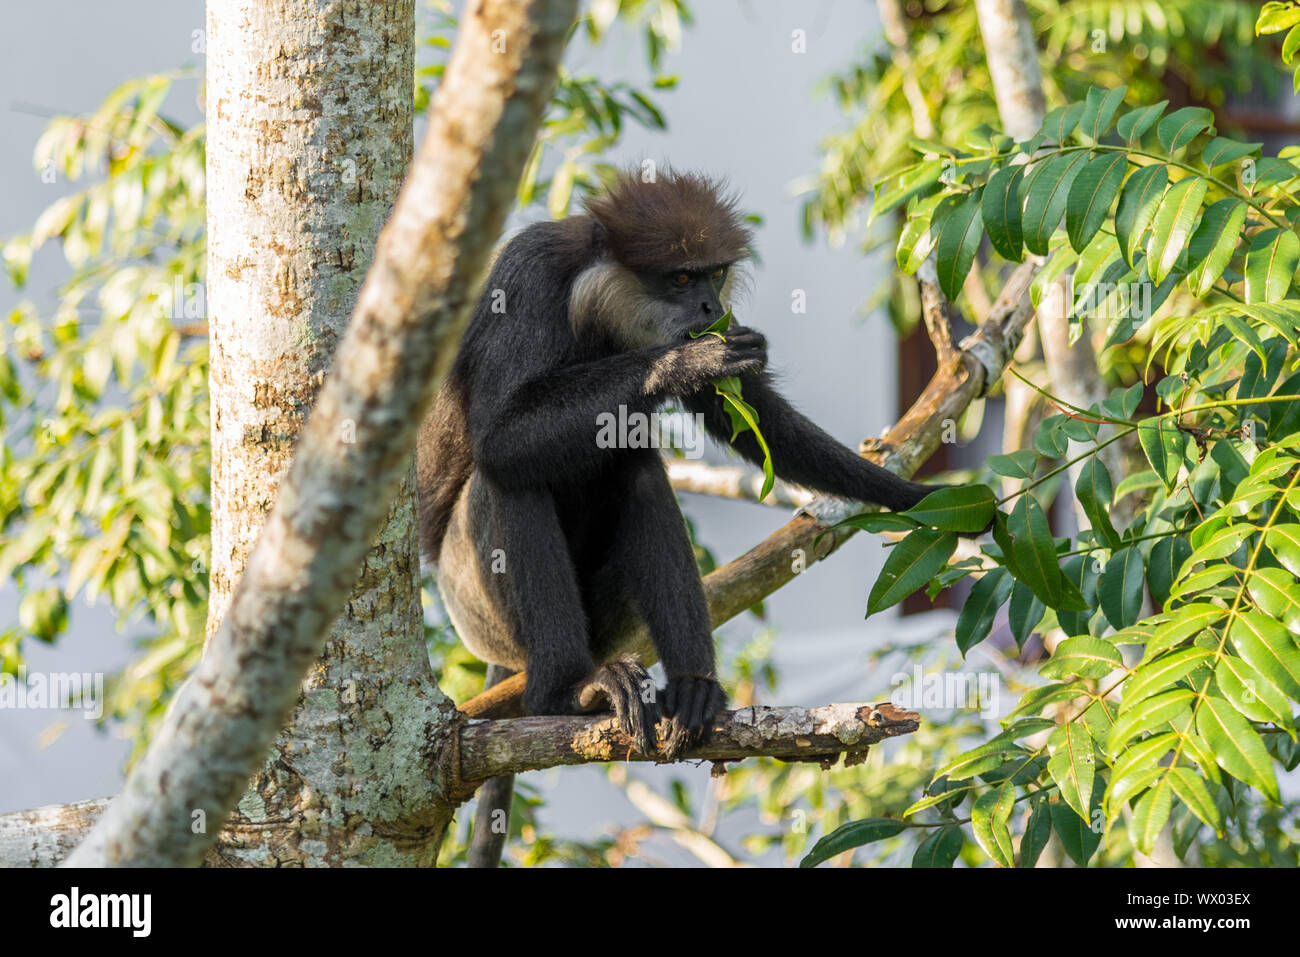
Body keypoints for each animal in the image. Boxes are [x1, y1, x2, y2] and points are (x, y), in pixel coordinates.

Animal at [421, 167, 941, 759]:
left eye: (713, 276)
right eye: (682, 279)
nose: (711, 309)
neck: (590, 306)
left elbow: (746, 415)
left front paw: (918, 497)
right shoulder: (528, 276)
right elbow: (498, 436)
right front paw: (686, 361)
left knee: (636, 469)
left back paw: (693, 688)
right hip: (478, 609)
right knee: (507, 478)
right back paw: (569, 691)